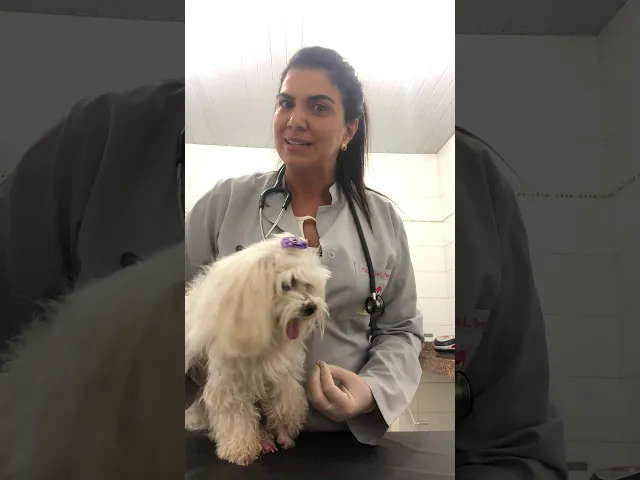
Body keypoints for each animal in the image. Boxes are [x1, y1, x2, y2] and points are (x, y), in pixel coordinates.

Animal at [184, 233, 331, 466]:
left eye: (307, 285)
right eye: (286, 285)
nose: (311, 307)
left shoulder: (280, 374)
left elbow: (284, 400)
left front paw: (284, 429)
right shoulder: (230, 382)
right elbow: (236, 415)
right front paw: (240, 449)